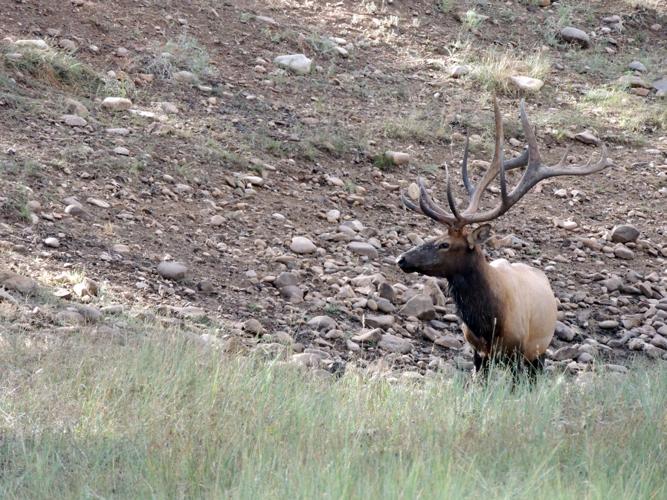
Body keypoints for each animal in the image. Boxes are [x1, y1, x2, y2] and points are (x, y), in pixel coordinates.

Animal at [396, 97, 612, 376]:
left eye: (444, 244)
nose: (402, 259)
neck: (489, 324)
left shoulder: (518, 352)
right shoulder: (478, 353)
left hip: (539, 352)